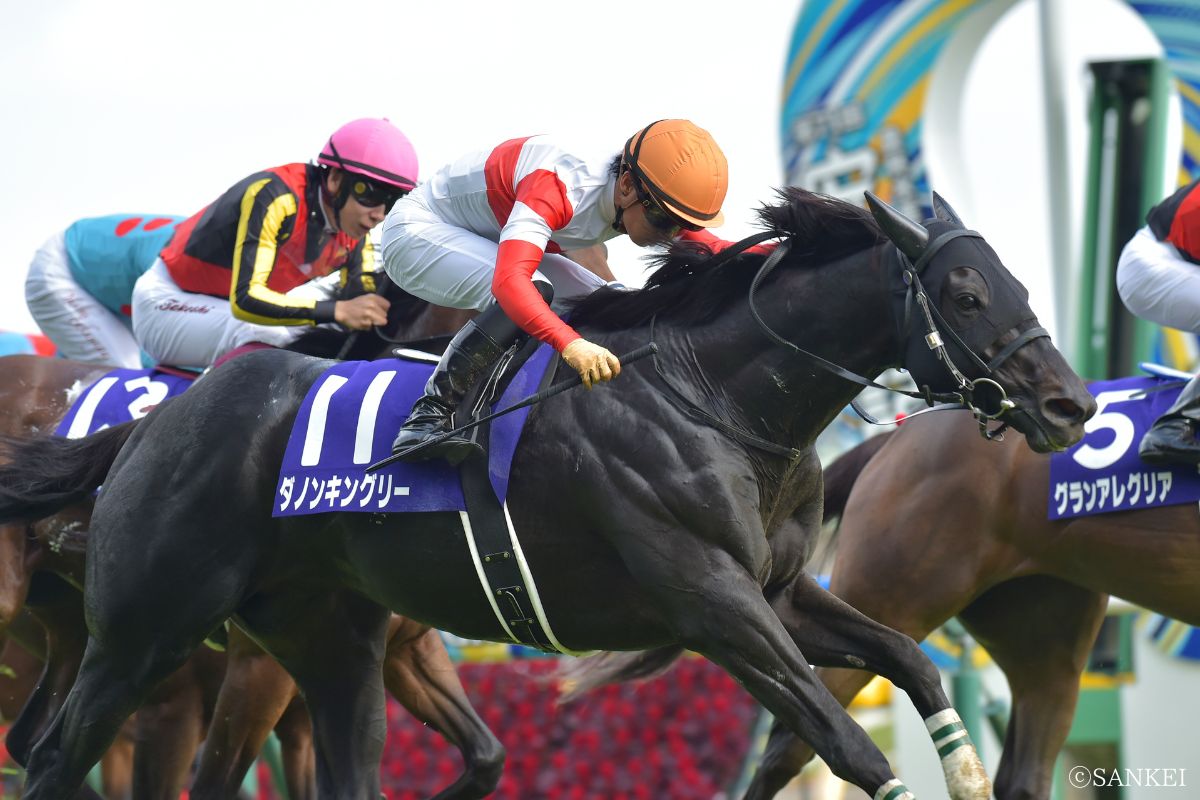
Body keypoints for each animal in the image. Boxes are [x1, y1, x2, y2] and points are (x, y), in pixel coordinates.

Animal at [0, 189, 1094, 800]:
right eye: (964, 295)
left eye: (1016, 285)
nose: (1071, 403)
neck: (713, 399)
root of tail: (154, 421)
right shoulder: (713, 606)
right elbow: (848, 743)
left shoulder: (778, 593)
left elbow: (911, 660)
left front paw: (964, 771)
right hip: (148, 629)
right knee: (50, 758)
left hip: (327, 639)